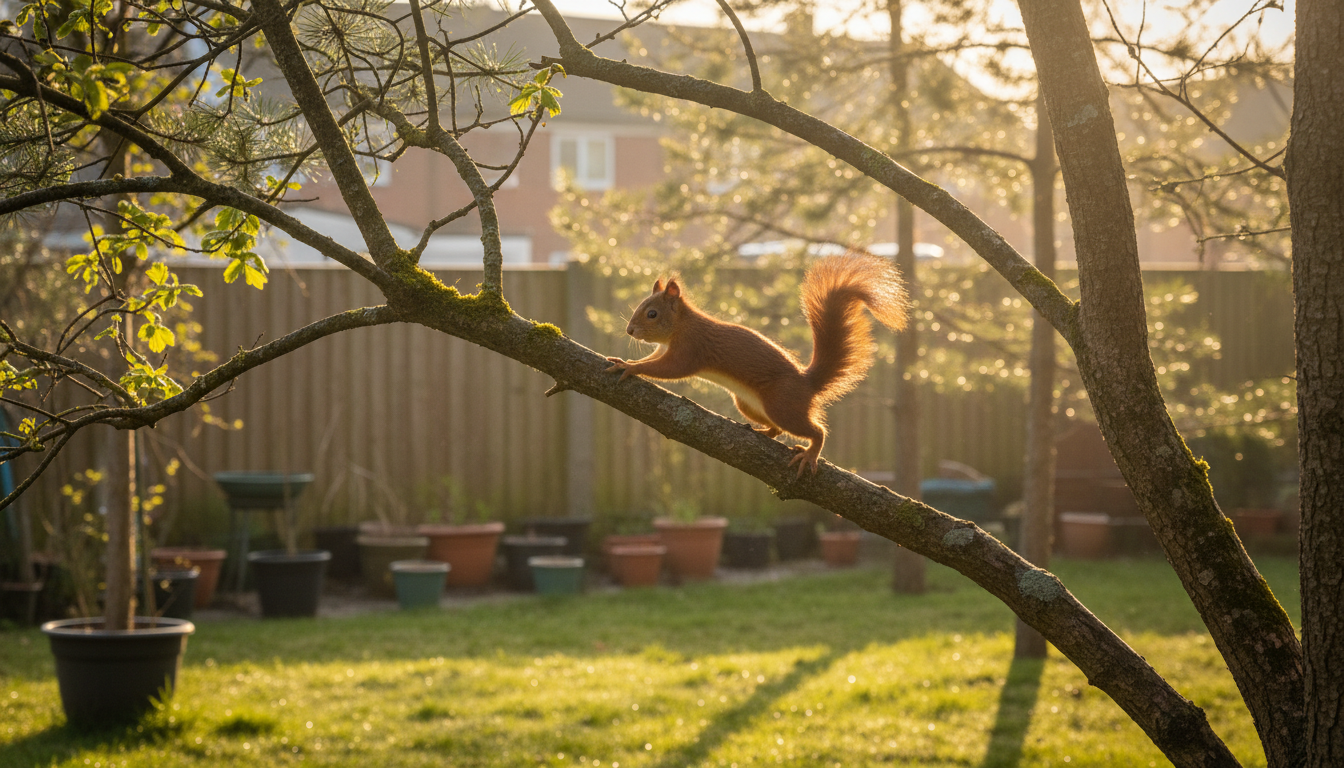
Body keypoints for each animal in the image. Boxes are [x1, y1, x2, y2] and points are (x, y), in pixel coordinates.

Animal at [606, 252, 908, 476]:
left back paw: (810, 453)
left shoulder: (691, 349)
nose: (630, 330)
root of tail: (807, 383)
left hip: (783, 405)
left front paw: (631, 368)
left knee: (815, 430)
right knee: (777, 428)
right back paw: (764, 432)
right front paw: (625, 360)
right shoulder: (664, 348)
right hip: (748, 404)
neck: (680, 326)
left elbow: (667, 369)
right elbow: (651, 359)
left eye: (652, 314)